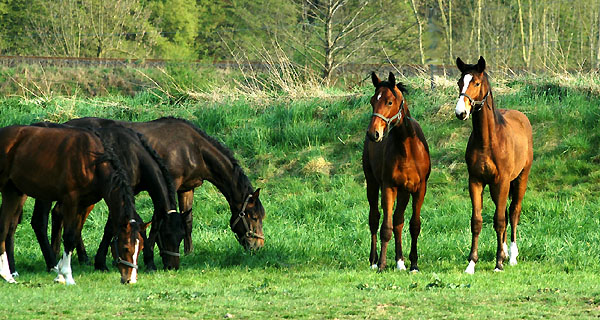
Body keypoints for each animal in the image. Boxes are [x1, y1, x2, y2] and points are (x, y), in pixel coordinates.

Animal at [0, 124, 145, 284]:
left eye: (141, 247)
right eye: (126, 248)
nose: (130, 279)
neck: (92, 162)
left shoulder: (83, 205)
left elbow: (74, 235)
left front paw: (59, 275)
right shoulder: (71, 201)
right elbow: (69, 236)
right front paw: (67, 276)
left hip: (12, 192)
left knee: (4, 228)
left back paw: (7, 275)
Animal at [26, 122, 185, 272]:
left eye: (181, 236)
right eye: (166, 235)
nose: (172, 266)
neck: (133, 154)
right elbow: (111, 228)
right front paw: (102, 262)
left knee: (62, 216)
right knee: (40, 222)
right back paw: (52, 261)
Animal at [360, 72, 432, 272]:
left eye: (389, 102)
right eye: (372, 101)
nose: (373, 133)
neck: (408, 149)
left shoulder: (419, 189)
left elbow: (413, 225)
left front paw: (414, 264)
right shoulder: (388, 187)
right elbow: (386, 227)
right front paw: (382, 264)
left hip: (404, 192)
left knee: (399, 221)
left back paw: (400, 261)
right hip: (372, 183)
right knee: (374, 219)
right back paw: (373, 261)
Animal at [454, 57, 536, 272]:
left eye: (476, 83)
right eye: (459, 82)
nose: (461, 112)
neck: (488, 141)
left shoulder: (502, 181)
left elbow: (499, 220)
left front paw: (499, 263)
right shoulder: (476, 181)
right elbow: (477, 221)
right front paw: (471, 264)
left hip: (520, 179)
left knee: (513, 212)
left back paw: (512, 256)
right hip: (494, 187)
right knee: (506, 214)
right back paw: (506, 252)